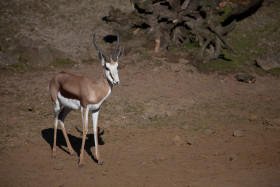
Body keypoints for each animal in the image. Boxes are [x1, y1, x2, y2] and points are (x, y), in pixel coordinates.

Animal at [48, 32, 124, 167]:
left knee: (61, 119)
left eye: (117, 66)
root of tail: (55, 76)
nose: (116, 82)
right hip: (56, 104)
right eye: (107, 68)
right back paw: (54, 153)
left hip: (68, 107)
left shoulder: (96, 109)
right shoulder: (84, 108)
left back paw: (72, 152)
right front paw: (81, 162)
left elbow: (94, 130)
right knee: (55, 120)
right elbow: (84, 130)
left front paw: (99, 160)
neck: (95, 89)